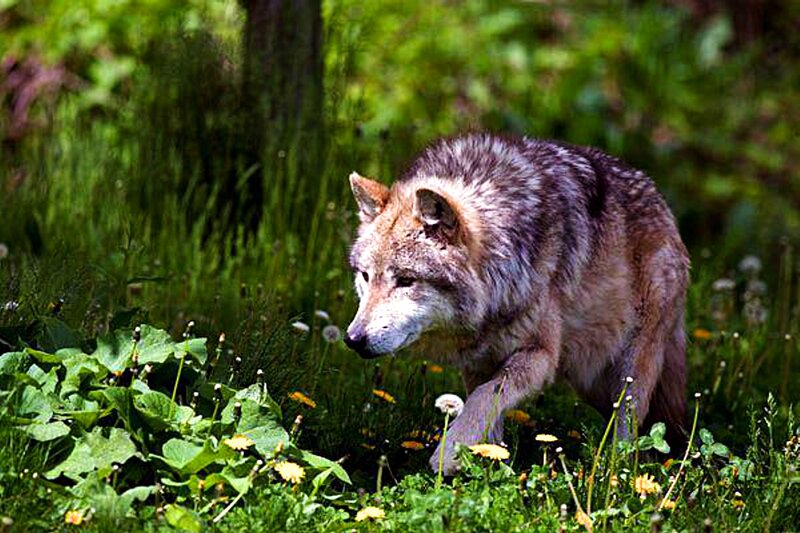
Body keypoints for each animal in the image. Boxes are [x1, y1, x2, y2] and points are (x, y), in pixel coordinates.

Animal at [345, 133, 689, 474]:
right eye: (365, 276)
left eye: (405, 280)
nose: (353, 339)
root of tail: (660, 200)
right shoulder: (478, 363)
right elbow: (486, 411)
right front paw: (487, 464)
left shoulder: (539, 355)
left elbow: (484, 397)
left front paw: (450, 453)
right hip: (591, 379)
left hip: (629, 371)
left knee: (628, 429)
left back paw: (613, 472)